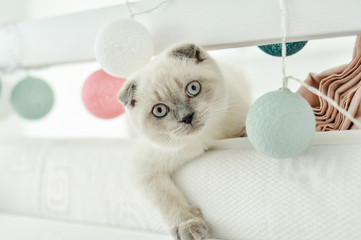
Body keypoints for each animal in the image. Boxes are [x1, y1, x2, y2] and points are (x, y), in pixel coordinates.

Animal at [118, 43, 250, 240]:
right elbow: (167, 197)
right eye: (159, 110)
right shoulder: (144, 169)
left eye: (193, 88)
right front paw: (188, 226)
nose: (187, 117)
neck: (207, 136)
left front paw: (247, 133)